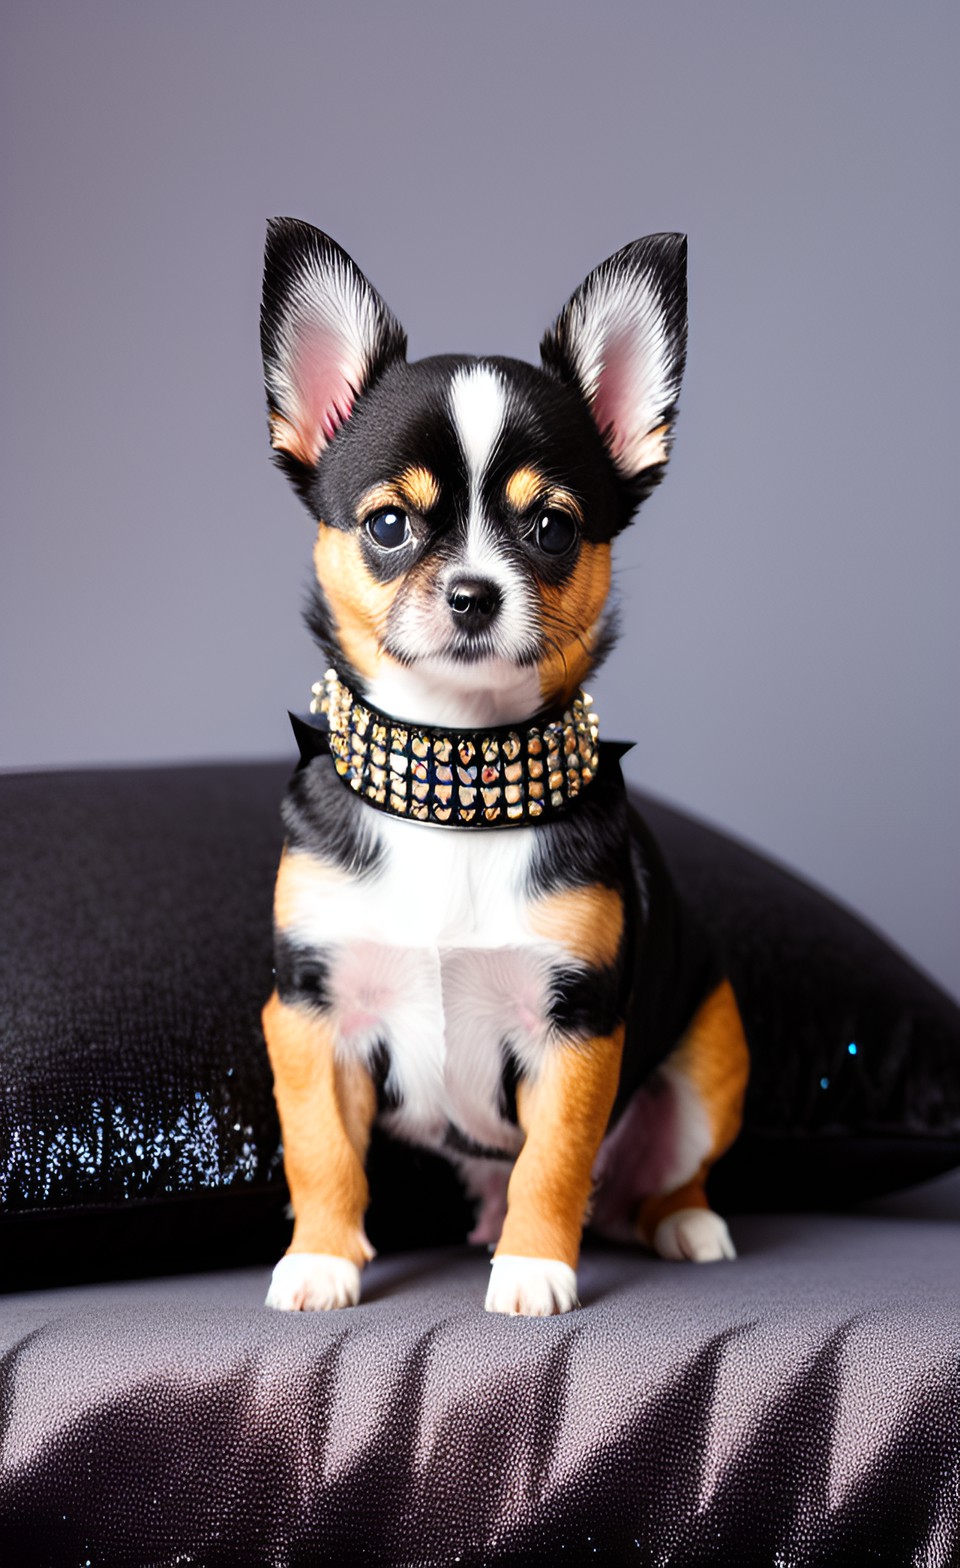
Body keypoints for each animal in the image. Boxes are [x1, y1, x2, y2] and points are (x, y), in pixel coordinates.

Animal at [257, 217, 749, 1310]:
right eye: (388, 524)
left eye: (552, 528)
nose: (475, 592)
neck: (459, 766)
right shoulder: (311, 1012)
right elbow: (321, 1148)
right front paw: (319, 1256)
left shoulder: (577, 1028)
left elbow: (555, 1158)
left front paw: (533, 1268)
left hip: (710, 1057)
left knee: (659, 1173)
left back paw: (683, 1222)